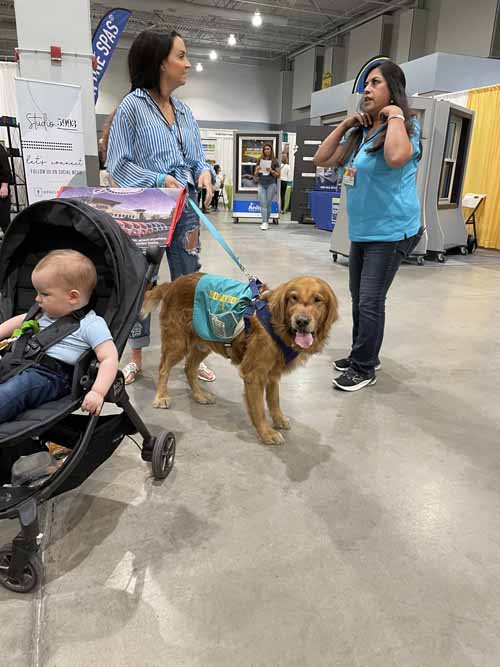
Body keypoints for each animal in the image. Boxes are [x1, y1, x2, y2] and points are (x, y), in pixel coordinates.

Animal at [142, 273, 338, 445]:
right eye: (294, 298)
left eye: (318, 300)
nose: (302, 321)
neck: (278, 327)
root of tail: (173, 283)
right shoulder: (254, 375)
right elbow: (259, 408)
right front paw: (266, 433)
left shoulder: (273, 373)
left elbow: (274, 400)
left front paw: (278, 419)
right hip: (178, 343)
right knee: (163, 368)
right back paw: (161, 396)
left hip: (205, 341)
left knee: (189, 368)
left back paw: (199, 395)